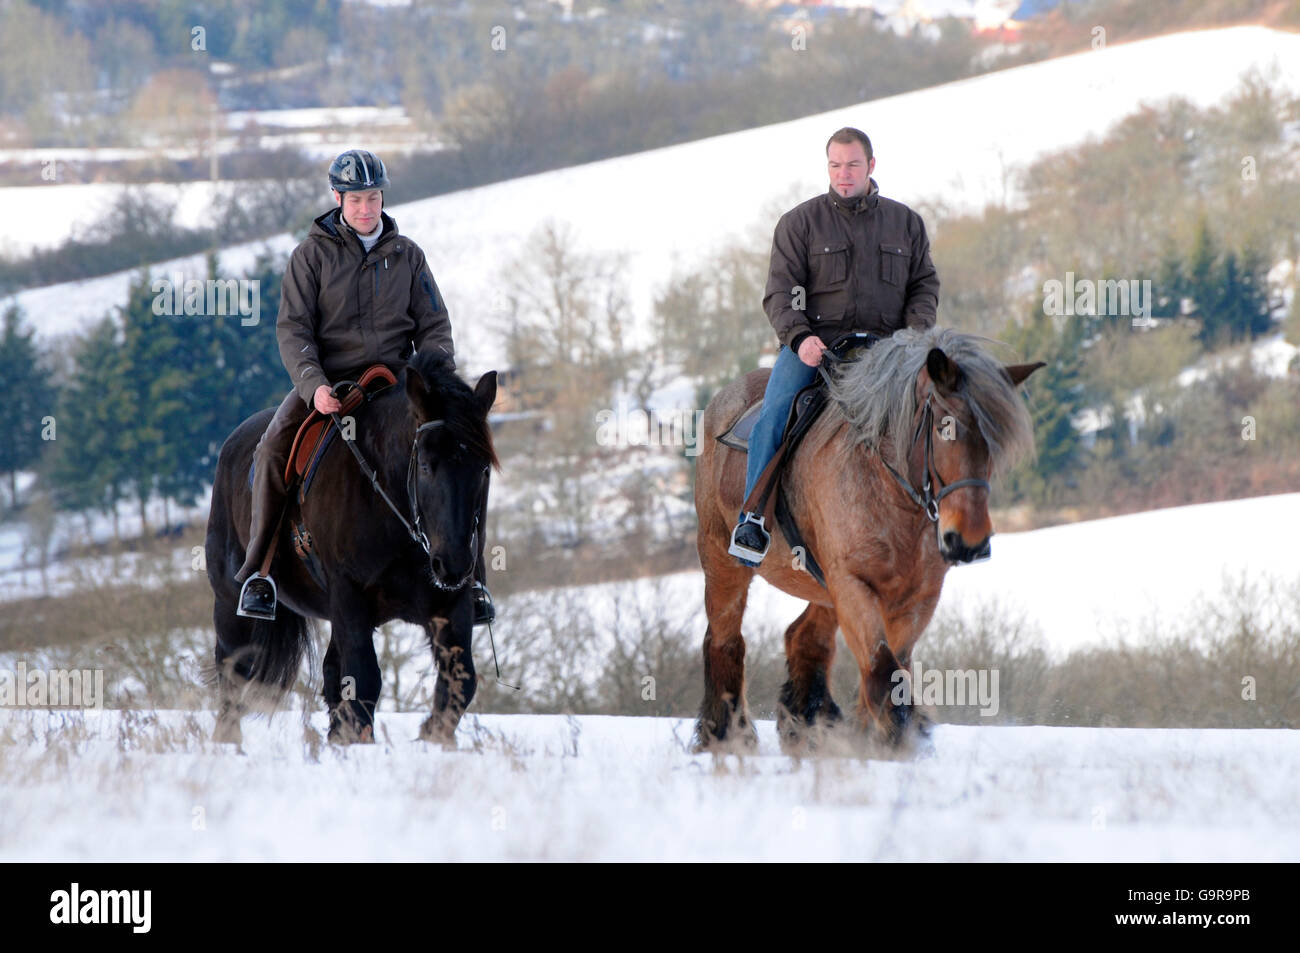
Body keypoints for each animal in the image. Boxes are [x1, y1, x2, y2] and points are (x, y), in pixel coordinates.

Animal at [204, 350, 499, 745]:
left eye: (483, 470)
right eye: (425, 465)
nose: (452, 564)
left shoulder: (451, 602)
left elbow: (459, 681)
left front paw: (433, 737)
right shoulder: (350, 593)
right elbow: (363, 679)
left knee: (329, 673)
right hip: (230, 604)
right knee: (232, 677)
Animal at [693, 326, 1043, 753]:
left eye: (994, 439)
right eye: (944, 426)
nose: (969, 540)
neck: (888, 489)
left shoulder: (915, 598)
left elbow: (893, 670)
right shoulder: (852, 585)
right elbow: (882, 672)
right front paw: (896, 742)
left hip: (821, 588)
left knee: (804, 639)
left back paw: (810, 726)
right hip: (723, 561)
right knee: (724, 640)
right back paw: (727, 736)